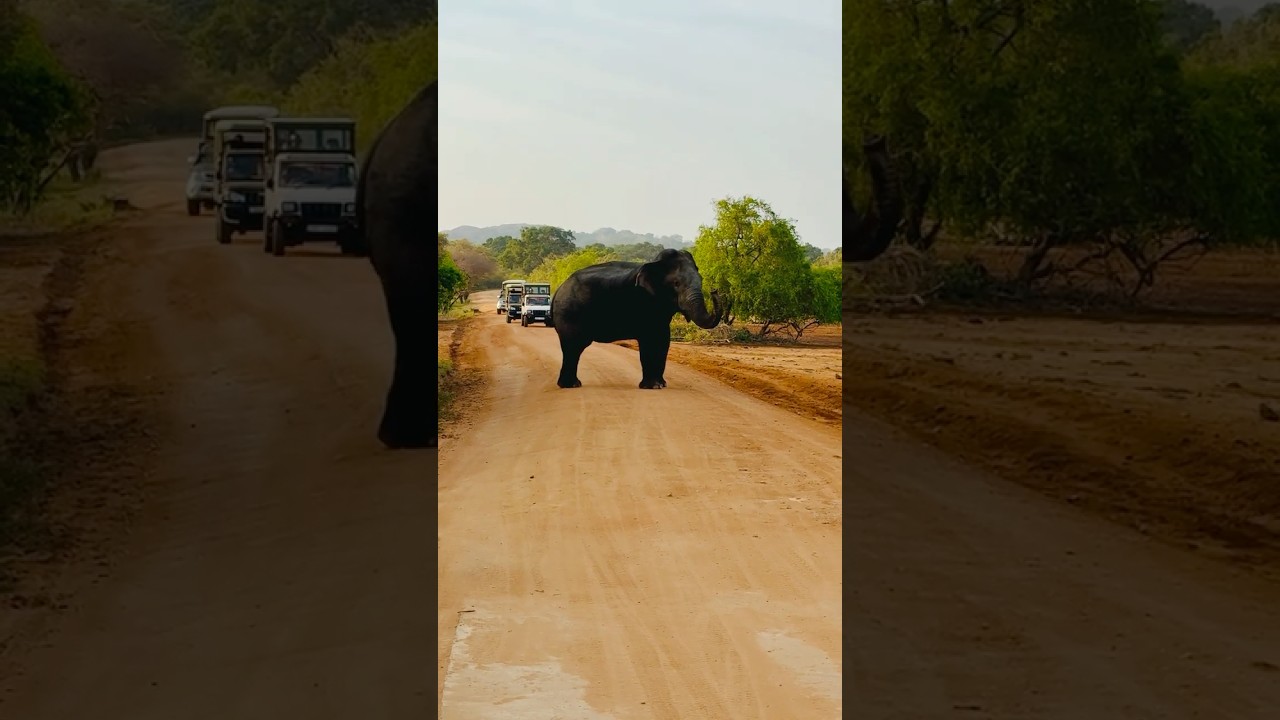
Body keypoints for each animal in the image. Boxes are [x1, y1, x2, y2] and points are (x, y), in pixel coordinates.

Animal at [551, 248, 722, 390]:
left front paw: (661, 384)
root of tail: (559, 288)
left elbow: (663, 340)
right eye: (676, 283)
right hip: (569, 314)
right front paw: (653, 387)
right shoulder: (644, 304)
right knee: (573, 347)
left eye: (701, 279)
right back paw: (570, 385)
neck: (656, 264)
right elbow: (649, 340)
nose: (715, 290)